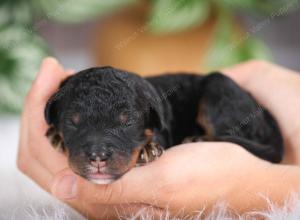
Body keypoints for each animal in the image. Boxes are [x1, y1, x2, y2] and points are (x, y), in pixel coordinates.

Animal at [44, 66, 284, 184]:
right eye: (72, 122)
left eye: (127, 121)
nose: (97, 156)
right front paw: (55, 134)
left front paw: (147, 150)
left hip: (220, 89)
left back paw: (197, 138)